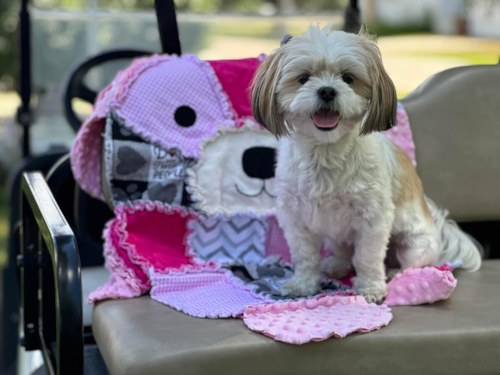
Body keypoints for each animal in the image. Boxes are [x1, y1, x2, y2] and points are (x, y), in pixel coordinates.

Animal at [252, 25, 482, 304]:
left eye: (348, 78)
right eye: (304, 78)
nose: (327, 90)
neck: (325, 153)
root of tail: (436, 222)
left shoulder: (373, 218)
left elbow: (368, 258)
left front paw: (371, 288)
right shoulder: (295, 217)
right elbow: (305, 256)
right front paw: (302, 285)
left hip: (413, 243)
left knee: (412, 262)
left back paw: (394, 272)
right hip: (337, 239)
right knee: (344, 253)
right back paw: (336, 265)